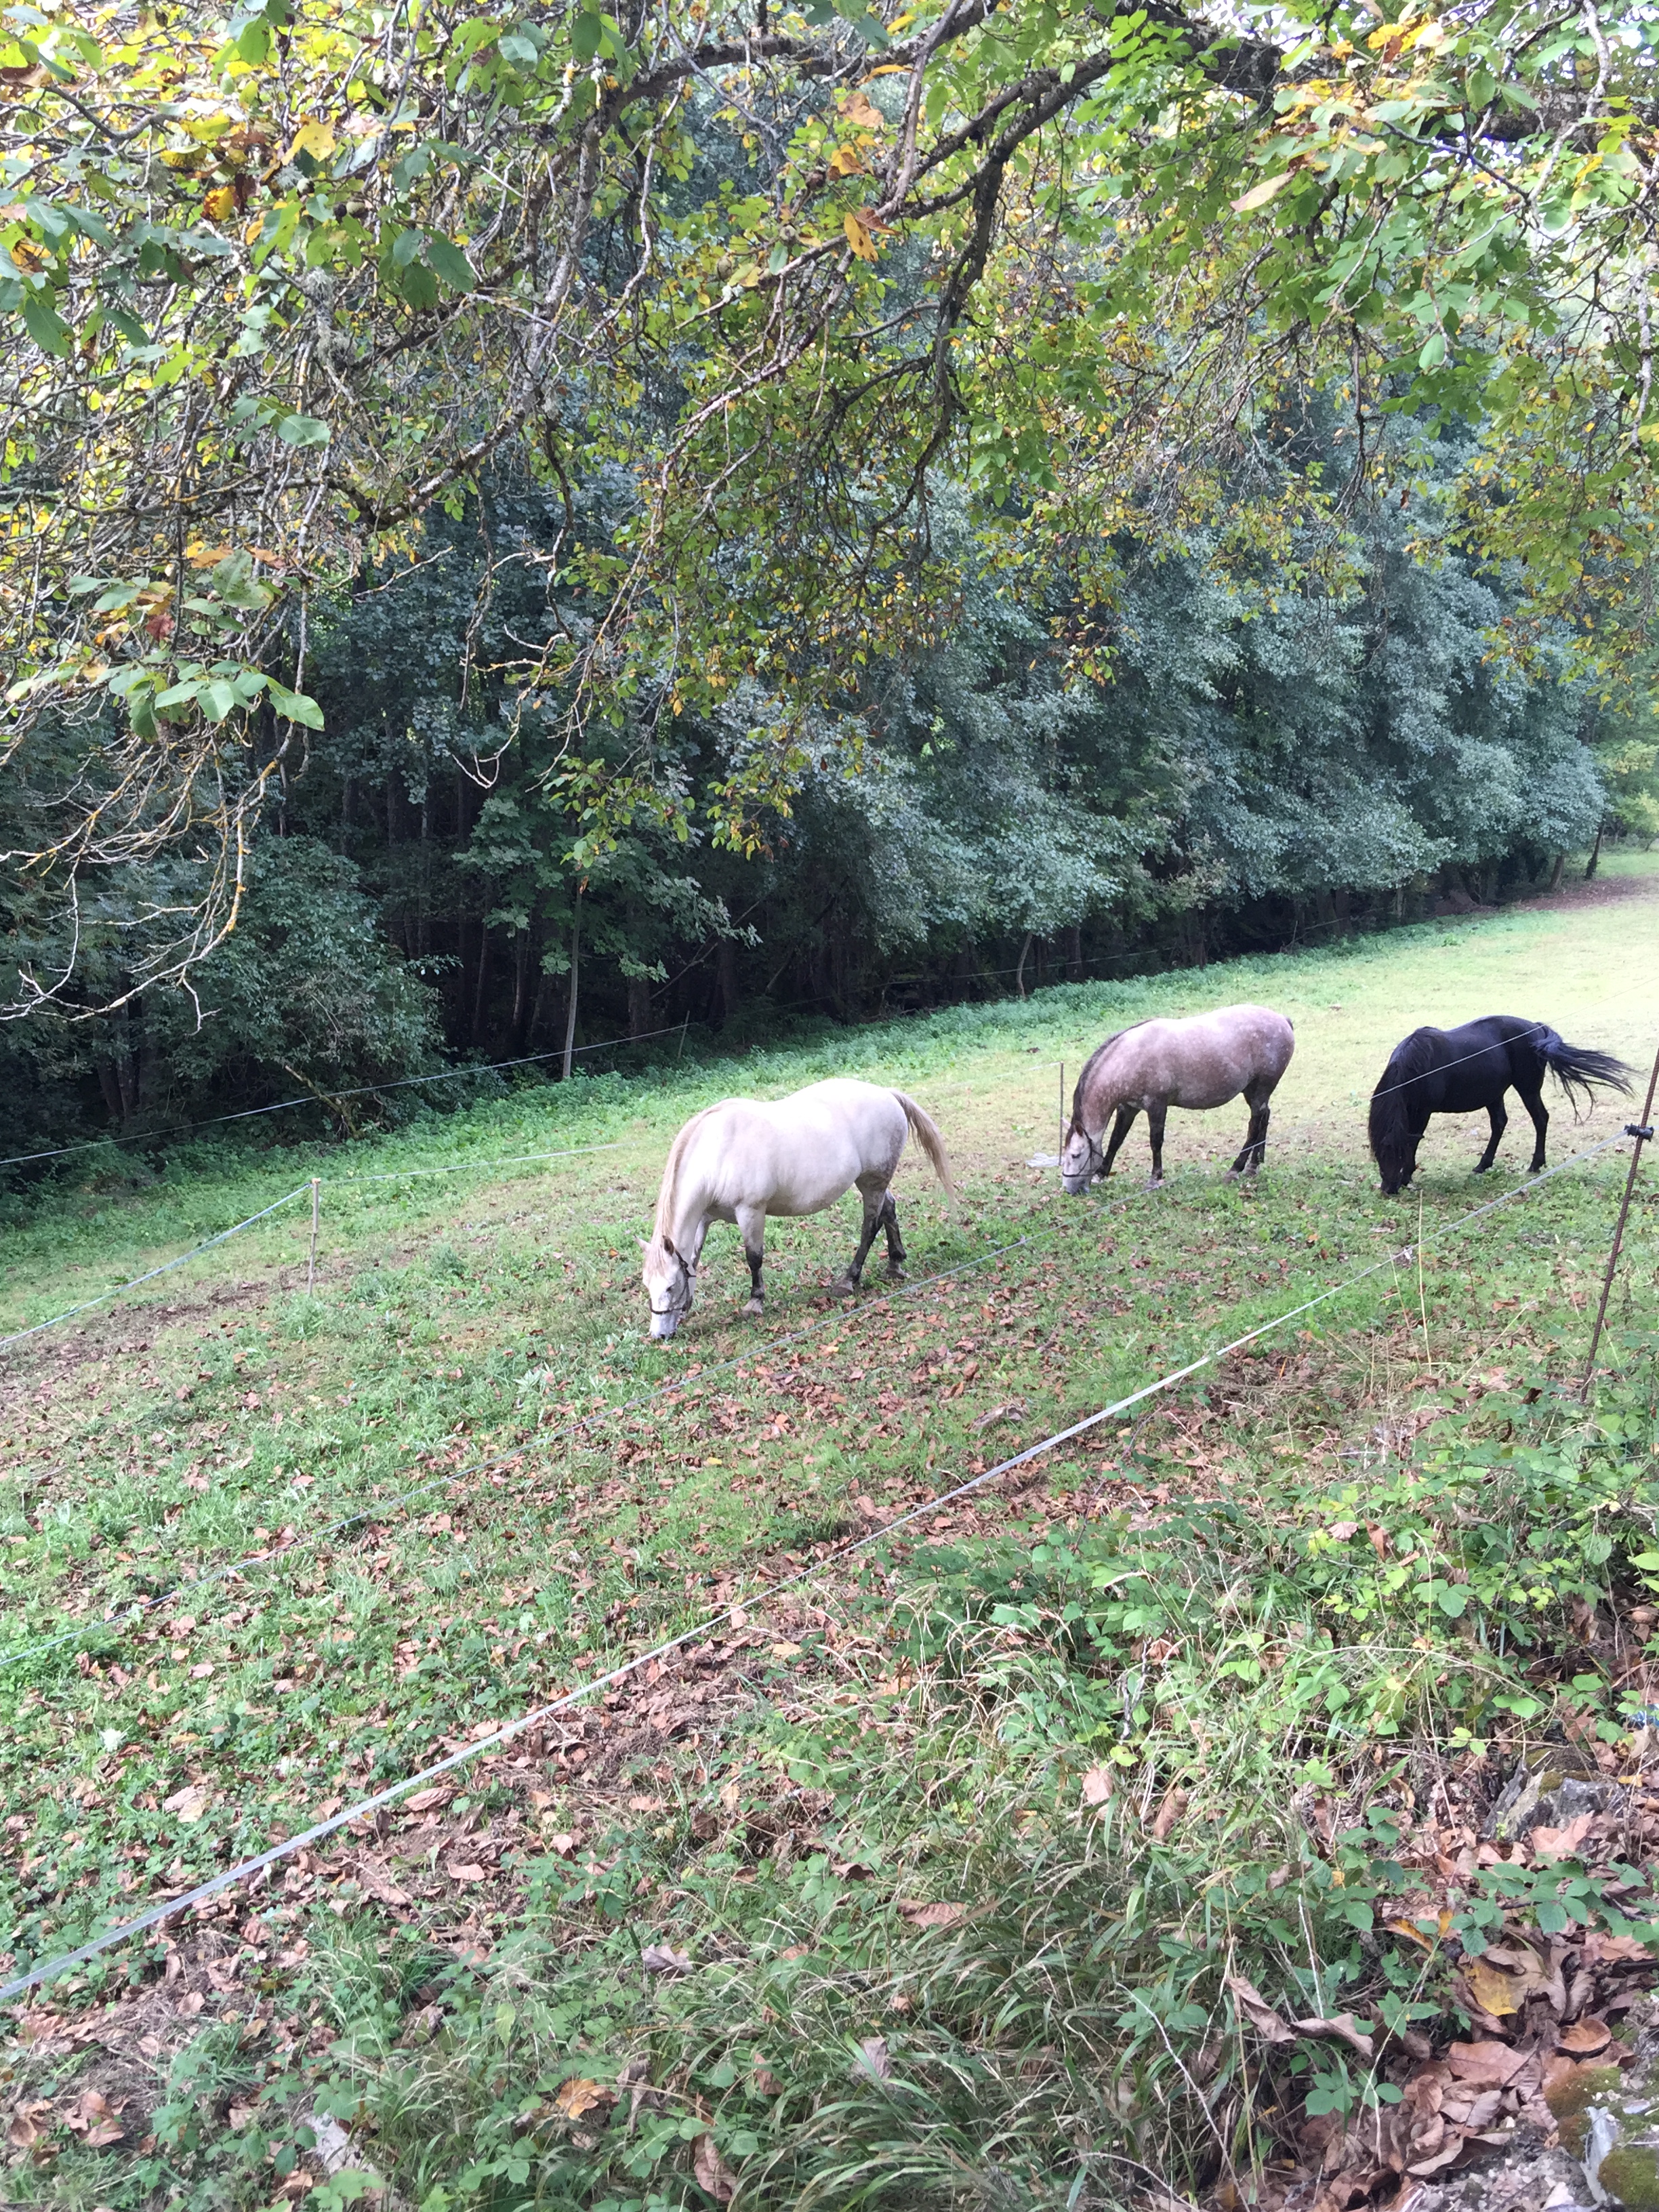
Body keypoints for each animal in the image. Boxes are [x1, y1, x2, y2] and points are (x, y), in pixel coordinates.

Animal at [641, 1078, 956, 1339]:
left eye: (670, 1286)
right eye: (647, 1285)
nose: (659, 1335)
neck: (718, 1151)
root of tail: (887, 1094)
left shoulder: (751, 1212)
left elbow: (754, 1258)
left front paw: (755, 1302)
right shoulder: (704, 1219)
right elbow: (693, 1260)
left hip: (872, 1184)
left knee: (871, 1225)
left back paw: (849, 1280)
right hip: (874, 1184)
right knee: (889, 1210)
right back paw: (895, 1264)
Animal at [1060, 1003, 1295, 1192]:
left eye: (1075, 1155)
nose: (1069, 1190)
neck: (1131, 1057)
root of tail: (1283, 1020)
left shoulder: (1157, 1106)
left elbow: (1155, 1141)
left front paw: (1154, 1179)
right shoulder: (1128, 1108)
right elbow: (1116, 1140)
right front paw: (1101, 1174)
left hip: (1260, 1091)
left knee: (1255, 1125)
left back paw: (1235, 1169)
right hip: (1254, 1092)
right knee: (1264, 1117)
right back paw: (1254, 1165)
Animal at [1368, 1015, 1632, 1196]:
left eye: (1396, 1154)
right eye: (1379, 1153)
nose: (1389, 1188)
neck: (1416, 1066)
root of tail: (1537, 1028)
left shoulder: (1423, 1112)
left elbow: (1413, 1141)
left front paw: (1407, 1176)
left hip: (1527, 1089)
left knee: (1540, 1119)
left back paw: (1535, 1165)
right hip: (1494, 1095)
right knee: (1500, 1123)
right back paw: (1483, 1165)